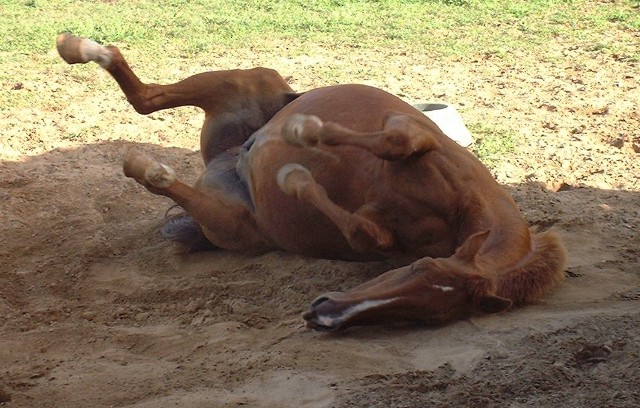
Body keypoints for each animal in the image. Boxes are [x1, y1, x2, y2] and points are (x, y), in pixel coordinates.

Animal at [56, 33, 567, 331]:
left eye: (424, 313)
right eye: (418, 271)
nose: (322, 315)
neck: (463, 205)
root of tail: (222, 164)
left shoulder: (379, 234)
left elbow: (364, 231)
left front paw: (296, 175)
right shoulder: (415, 137)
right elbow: (395, 140)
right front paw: (305, 136)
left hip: (233, 225)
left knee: (150, 125)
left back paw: (145, 163)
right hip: (243, 82)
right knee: (146, 95)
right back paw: (76, 48)